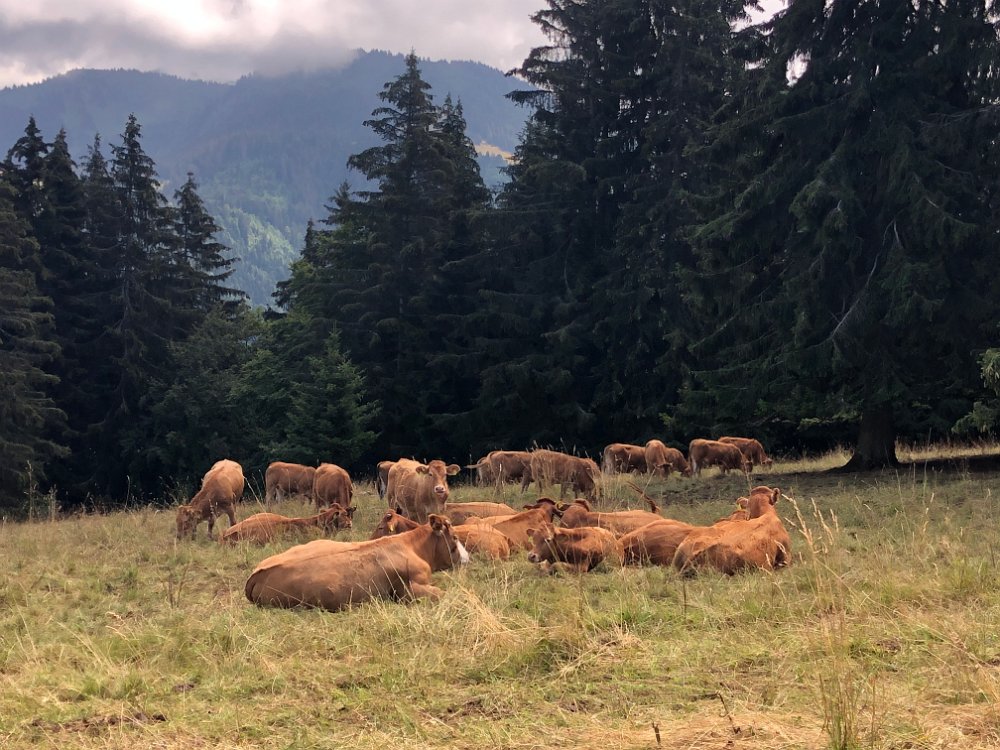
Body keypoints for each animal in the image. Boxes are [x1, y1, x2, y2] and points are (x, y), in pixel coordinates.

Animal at [245, 514, 469, 610]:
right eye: (455, 537)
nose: (467, 559)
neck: (411, 546)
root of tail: (257, 572)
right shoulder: (409, 590)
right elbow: (444, 593)